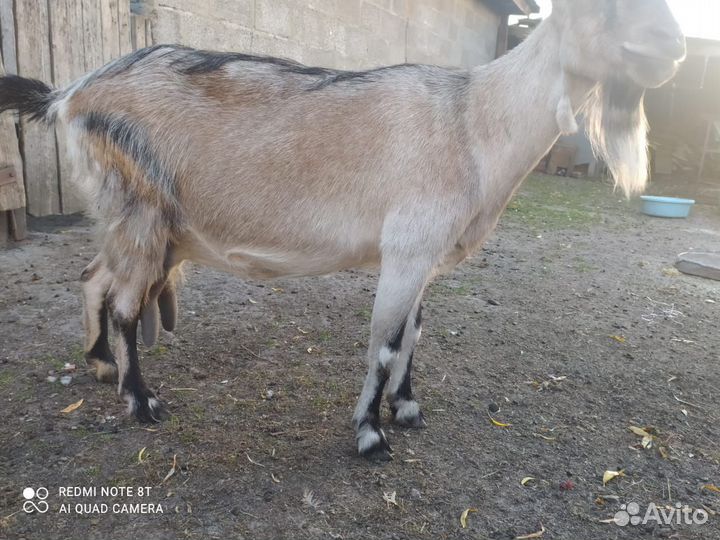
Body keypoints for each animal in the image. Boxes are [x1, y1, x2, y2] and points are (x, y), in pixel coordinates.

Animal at [1, 0, 688, 460]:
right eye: (598, 6)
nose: (675, 43)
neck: (473, 121)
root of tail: (68, 96)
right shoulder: (407, 247)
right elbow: (385, 343)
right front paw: (370, 434)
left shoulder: (423, 256)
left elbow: (414, 333)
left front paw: (407, 408)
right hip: (140, 210)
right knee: (122, 303)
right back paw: (142, 402)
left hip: (135, 221)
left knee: (93, 277)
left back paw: (98, 365)